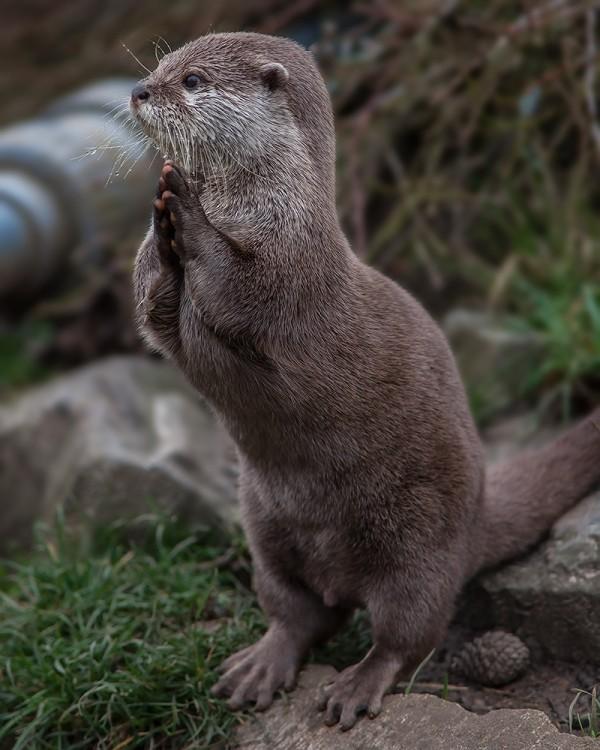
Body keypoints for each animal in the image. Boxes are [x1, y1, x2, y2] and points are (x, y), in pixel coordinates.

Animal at [130, 32, 600, 732]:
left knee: (407, 634)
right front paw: (162, 226)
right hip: (265, 530)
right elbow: (155, 315)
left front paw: (182, 211)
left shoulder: (292, 263)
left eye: (190, 80)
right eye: (160, 66)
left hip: (420, 546)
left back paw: (356, 686)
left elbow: (240, 287)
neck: (266, 207)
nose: (139, 91)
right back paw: (261, 667)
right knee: (299, 615)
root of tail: (476, 516)